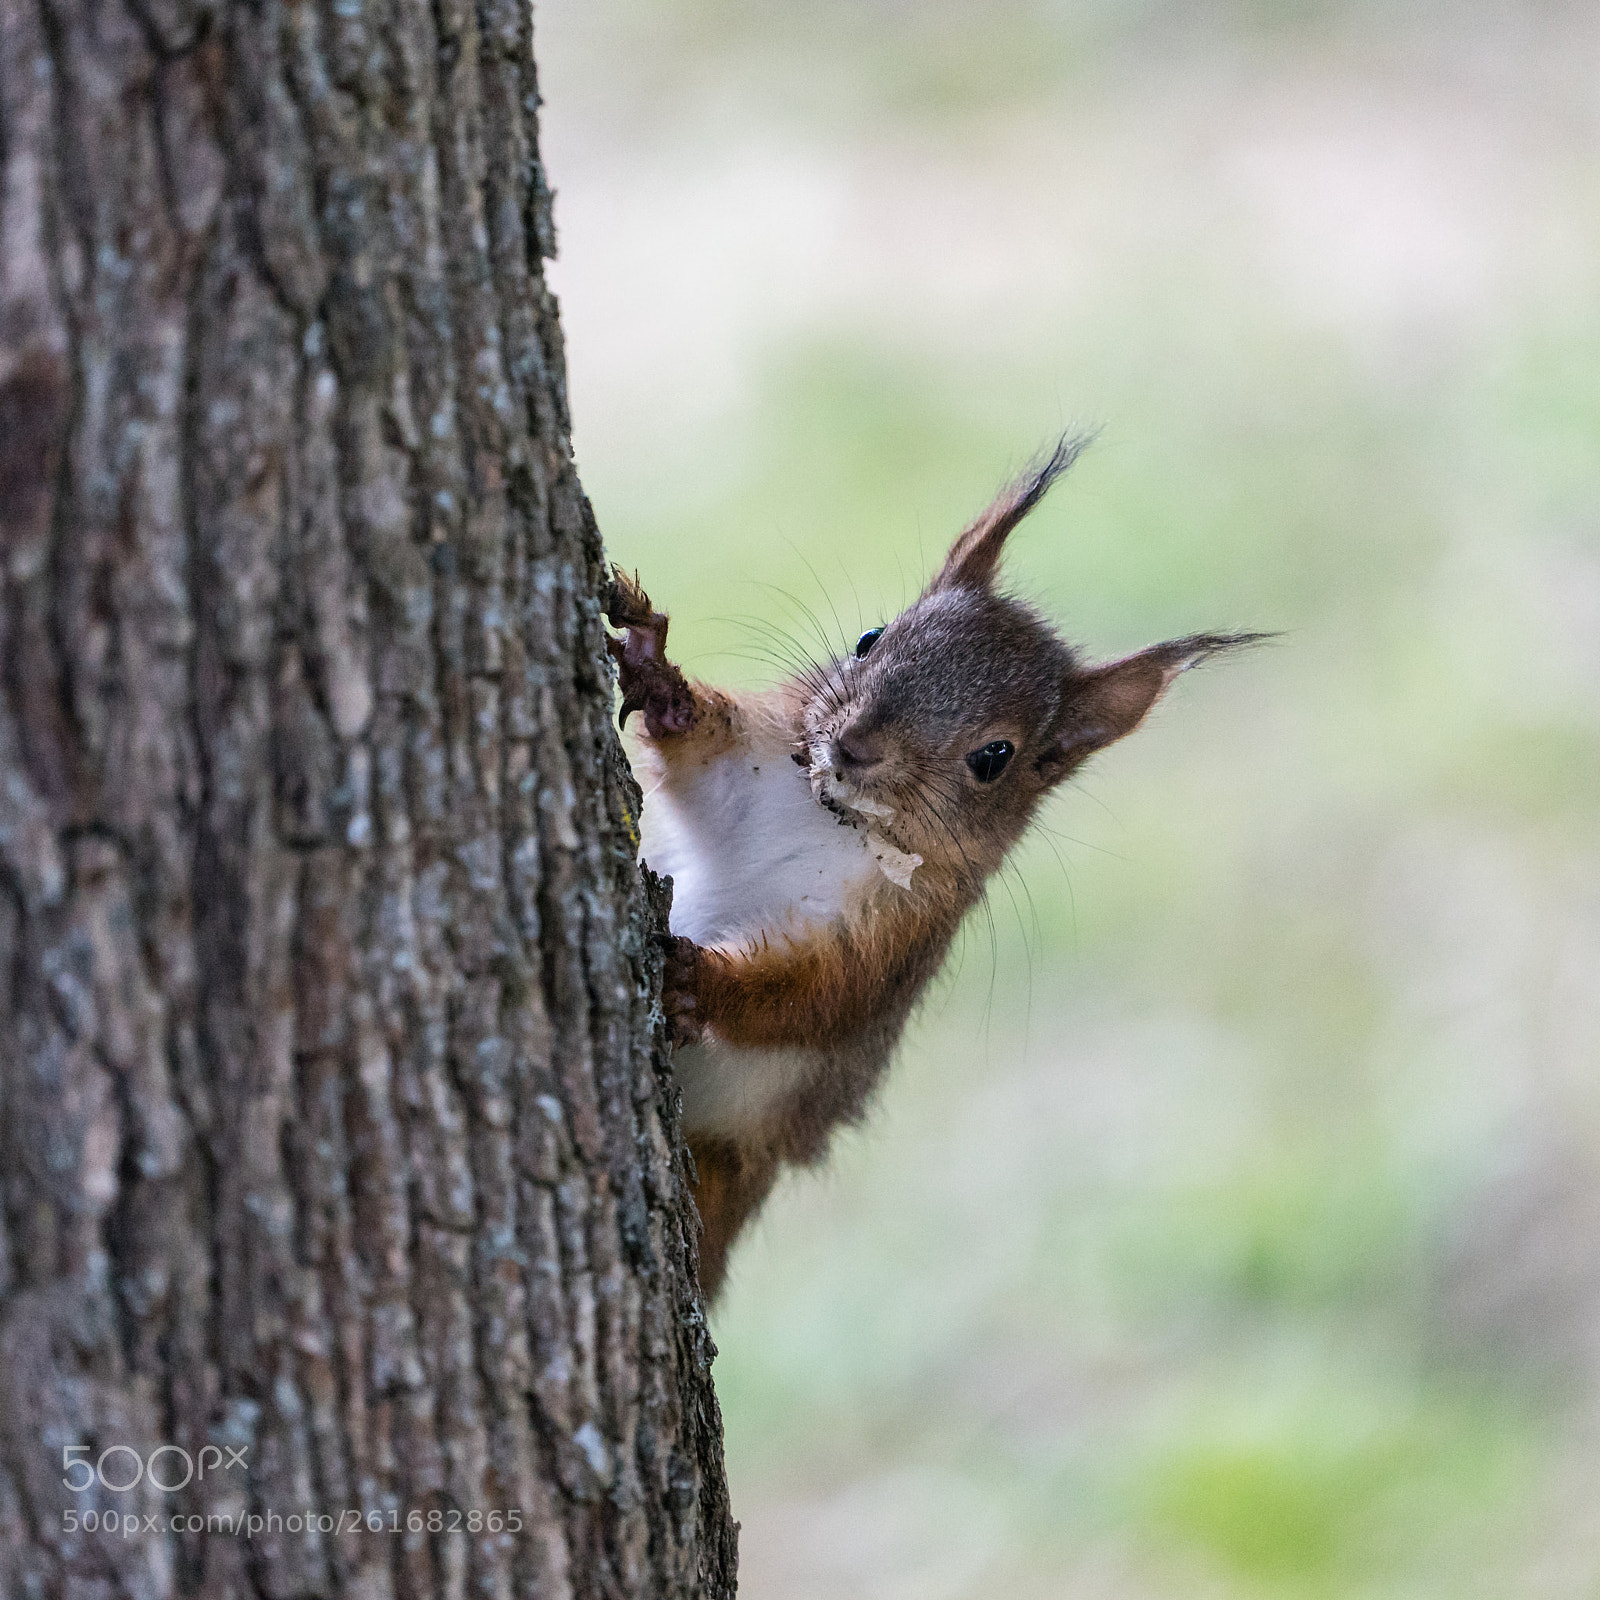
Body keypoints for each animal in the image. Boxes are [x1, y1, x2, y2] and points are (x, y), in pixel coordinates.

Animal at [605, 436, 1265, 1300]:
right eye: (870, 637)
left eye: (994, 758)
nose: (855, 746)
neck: (835, 819)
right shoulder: (743, 771)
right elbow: (690, 748)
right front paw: (657, 674)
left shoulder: (898, 935)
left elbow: (817, 994)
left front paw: (700, 982)